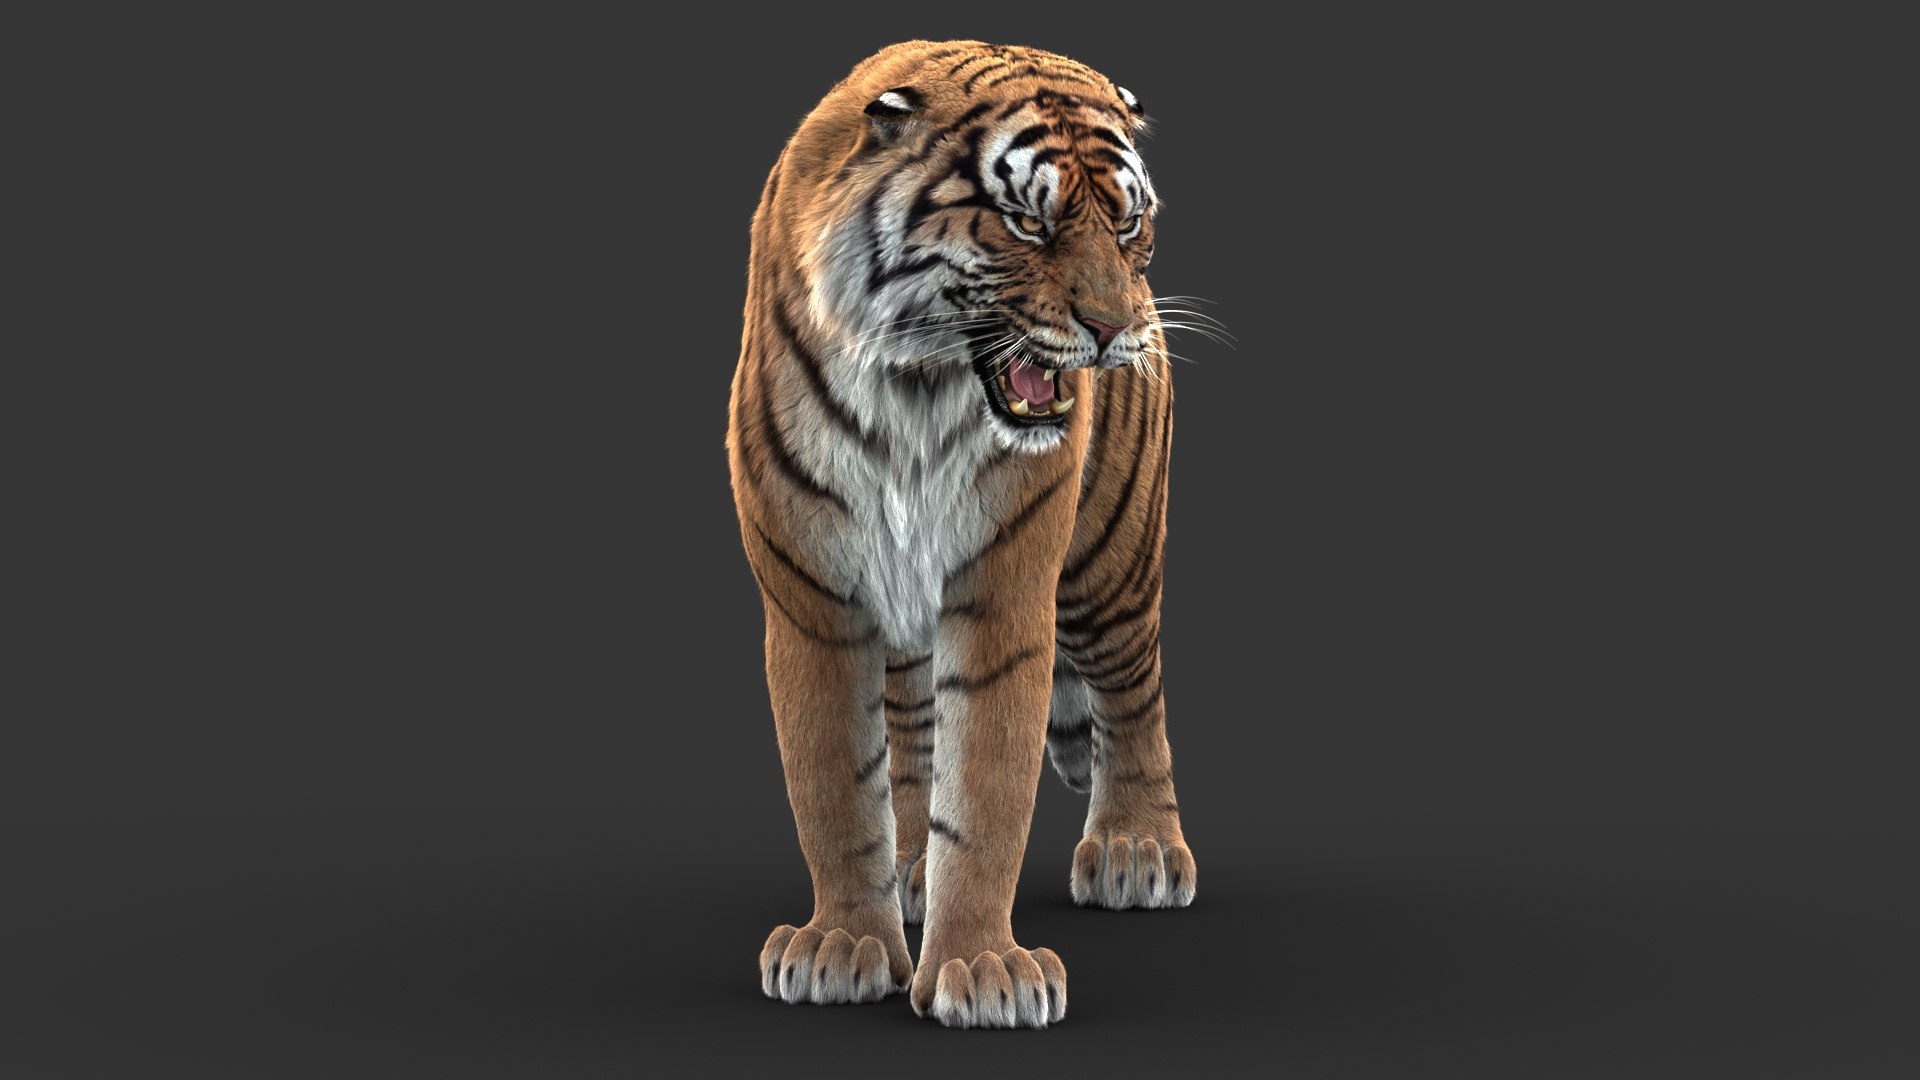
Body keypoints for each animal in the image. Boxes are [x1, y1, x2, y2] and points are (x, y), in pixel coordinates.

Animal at [726, 39, 1198, 1029]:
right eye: (1027, 225)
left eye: (1128, 222)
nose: (1114, 330)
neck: (914, 386)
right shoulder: (814, 604)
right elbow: (836, 787)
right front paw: (844, 946)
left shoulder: (1001, 594)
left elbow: (984, 790)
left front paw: (981, 970)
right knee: (910, 731)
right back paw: (910, 869)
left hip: (1111, 558)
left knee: (1132, 691)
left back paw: (1137, 848)